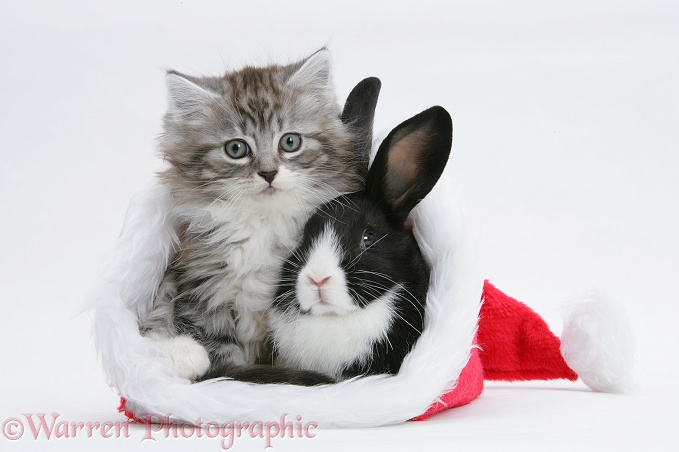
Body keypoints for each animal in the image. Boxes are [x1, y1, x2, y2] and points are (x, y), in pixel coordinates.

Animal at [138, 49, 382, 380]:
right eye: (236, 148)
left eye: (290, 142)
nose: (268, 173)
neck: (264, 223)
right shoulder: (202, 286)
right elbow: (222, 353)